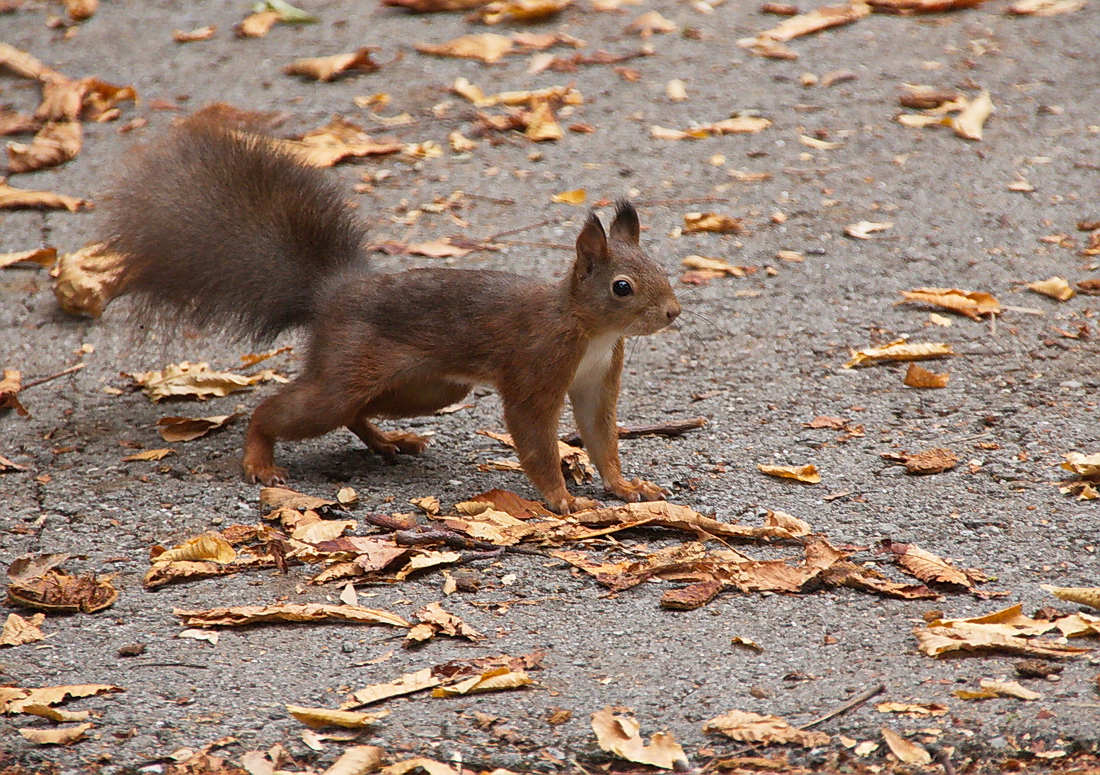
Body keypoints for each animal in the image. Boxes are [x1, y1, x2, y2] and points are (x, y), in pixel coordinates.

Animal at [96, 114, 677, 514]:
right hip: (350, 371)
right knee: (287, 409)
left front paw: (626, 486)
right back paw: (260, 460)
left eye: (659, 265)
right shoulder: (537, 364)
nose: (672, 313)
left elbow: (601, 437)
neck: (590, 329)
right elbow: (535, 436)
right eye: (622, 287)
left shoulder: (598, 377)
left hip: (428, 387)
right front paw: (561, 499)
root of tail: (332, 292)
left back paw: (389, 441)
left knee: (358, 410)